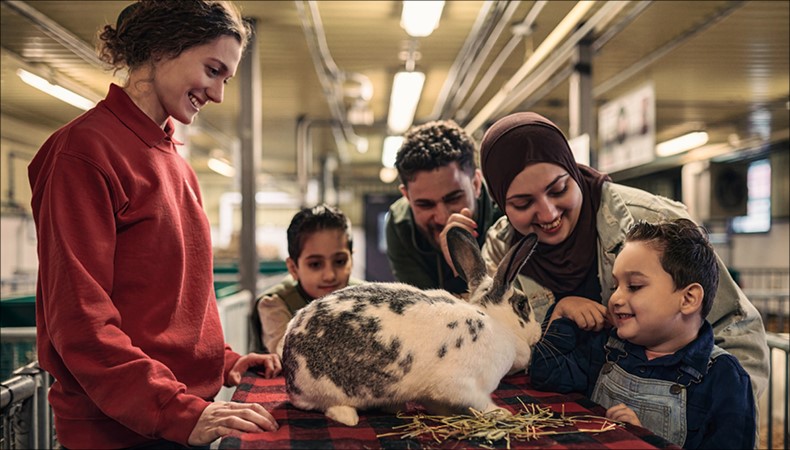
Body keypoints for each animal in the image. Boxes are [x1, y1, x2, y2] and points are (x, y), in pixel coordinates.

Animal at [282, 229, 540, 426]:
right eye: (522, 305)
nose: (538, 332)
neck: (496, 323)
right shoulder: (462, 384)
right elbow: (480, 402)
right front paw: (502, 413)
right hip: (329, 388)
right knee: (330, 407)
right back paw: (350, 416)